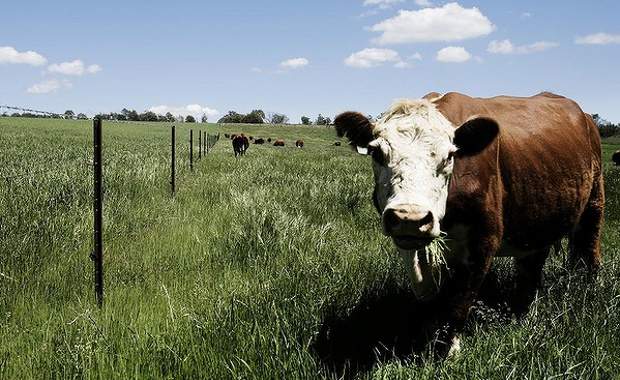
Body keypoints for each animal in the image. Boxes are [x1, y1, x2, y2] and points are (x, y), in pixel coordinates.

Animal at [336, 92, 604, 356]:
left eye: (449, 156)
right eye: (377, 153)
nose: (409, 217)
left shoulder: (483, 241)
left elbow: (460, 299)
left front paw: (448, 349)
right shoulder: (412, 247)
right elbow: (429, 296)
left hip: (594, 202)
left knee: (590, 249)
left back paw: (588, 289)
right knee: (532, 263)